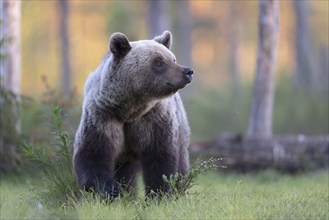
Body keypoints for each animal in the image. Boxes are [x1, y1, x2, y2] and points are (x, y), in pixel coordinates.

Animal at [73, 30, 192, 198]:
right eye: (158, 61)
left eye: (173, 58)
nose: (187, 71)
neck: (129, 109)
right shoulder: (103, 116)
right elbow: (93, 154)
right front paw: (112, 189)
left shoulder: (153, 118)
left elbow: (160, 158)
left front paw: (159, 193)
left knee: (181, 161)